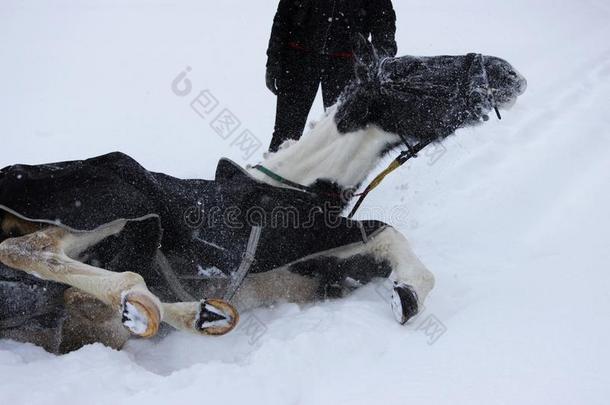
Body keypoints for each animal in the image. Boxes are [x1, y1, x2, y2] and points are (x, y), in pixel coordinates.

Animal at [0, 40, 524, 350]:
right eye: (415, 71)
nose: (509, 72)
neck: (297, 186)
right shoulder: (277, 243)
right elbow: (388, 231)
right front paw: (408, 296)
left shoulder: (321, 269)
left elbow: (379, 245)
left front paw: (407, 293)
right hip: (127, 201)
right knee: (30, 248)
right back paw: (149, 302)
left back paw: (197, 314)